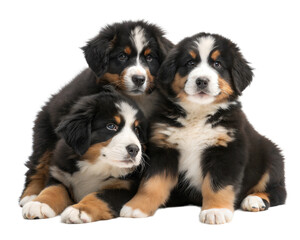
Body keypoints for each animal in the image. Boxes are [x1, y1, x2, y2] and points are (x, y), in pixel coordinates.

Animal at [19, 20, 172, 207]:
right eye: (122, 56)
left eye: (149, 58)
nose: (139, 79)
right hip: (45, 134)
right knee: (37, 164)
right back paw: (31, 195)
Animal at [22, 86, 148, 223]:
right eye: (111, 126)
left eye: (136, 130)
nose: (134, 149)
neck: (94, 166)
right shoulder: (60, 175)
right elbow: (53, 189)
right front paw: (39, 204)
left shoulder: (125, 186)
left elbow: (99, 196)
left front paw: (79, 210)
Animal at [120, 32, 288, 224]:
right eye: (190, 63)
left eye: (217, 64)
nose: (202, 81)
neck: (198, 113)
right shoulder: (164, 149)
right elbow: (151, 183)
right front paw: (137, 206)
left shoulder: (226, 150)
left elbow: (217, 184)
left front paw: (215, 210)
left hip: (273, 156)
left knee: (279, 192)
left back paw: (254, 199)